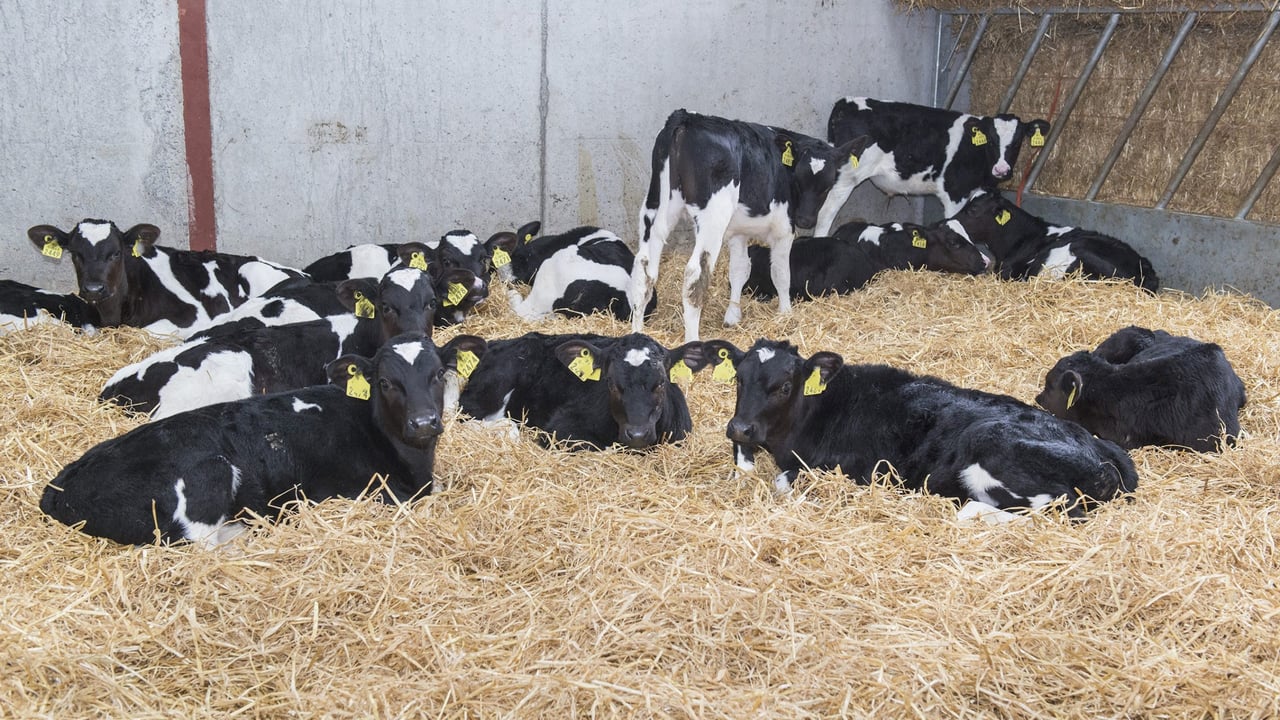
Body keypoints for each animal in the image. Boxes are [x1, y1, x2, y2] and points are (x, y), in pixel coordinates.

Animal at [28, 220, 305, 337]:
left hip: (253, 269)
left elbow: (145, 332)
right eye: (75, 254)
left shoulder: (193, 316)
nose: (94, 289)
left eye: (116, 253)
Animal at [627, 109, 871, 342]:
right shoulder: (784, 229)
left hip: (655, 207)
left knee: (644, 267)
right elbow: (781, 273)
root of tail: (687, 118)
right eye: (798, 181)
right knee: (695, 275)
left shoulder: (738, 231)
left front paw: (733, 316)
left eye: (827, 185)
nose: (805, 220)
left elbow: (739, 270)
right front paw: (786, 313)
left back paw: (638, 333)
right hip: (712, 217)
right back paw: (692, 339)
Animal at [705, 338, 1137, 517]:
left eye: (783, 386)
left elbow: (782, 481)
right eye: (739, 379)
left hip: (991, 443)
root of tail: (1101, 450)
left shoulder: (853, 469)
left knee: (1060, 507)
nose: (739, 427)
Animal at [816, 97, 1051, 233]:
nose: (1001, 170)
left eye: (1018, 142)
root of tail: (845, 102)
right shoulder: (954, 193)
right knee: (825, 213)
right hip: (847, 177)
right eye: (991, 140)